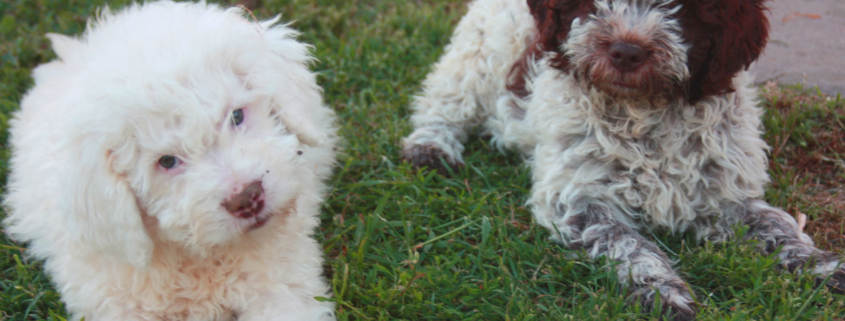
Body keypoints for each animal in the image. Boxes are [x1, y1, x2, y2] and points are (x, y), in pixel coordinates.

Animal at [400, 0, 844, 316]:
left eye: (682, 6)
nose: (626, 51)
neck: (645, 111)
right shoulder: (579, 196)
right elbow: (624, 242)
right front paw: (661, 290)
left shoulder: (728, 194)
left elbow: (777, 225)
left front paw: (820, 264)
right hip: (480, 51)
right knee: (446, 98)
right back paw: (431, 148)